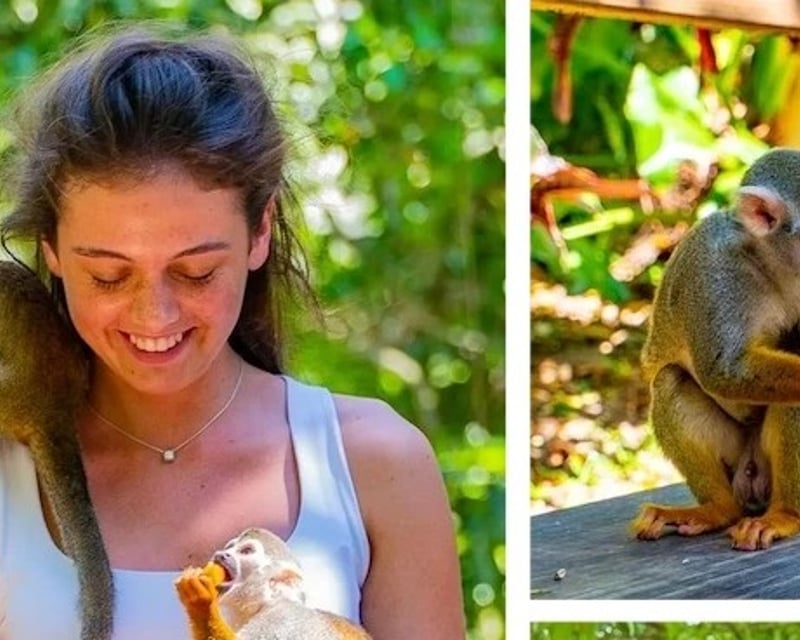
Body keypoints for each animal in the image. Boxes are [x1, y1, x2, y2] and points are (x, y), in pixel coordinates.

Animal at [175, 527, 373, 639]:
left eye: (246, 551)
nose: (222, 554)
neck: (264, 604)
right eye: (229, 547)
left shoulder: (282, 619)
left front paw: (201, 605)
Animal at [630, 148, 800, 550]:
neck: (775, 263)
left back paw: (785, 513)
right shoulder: (716, 271)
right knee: (671, 379)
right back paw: (720, 510)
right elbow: (725, 370)